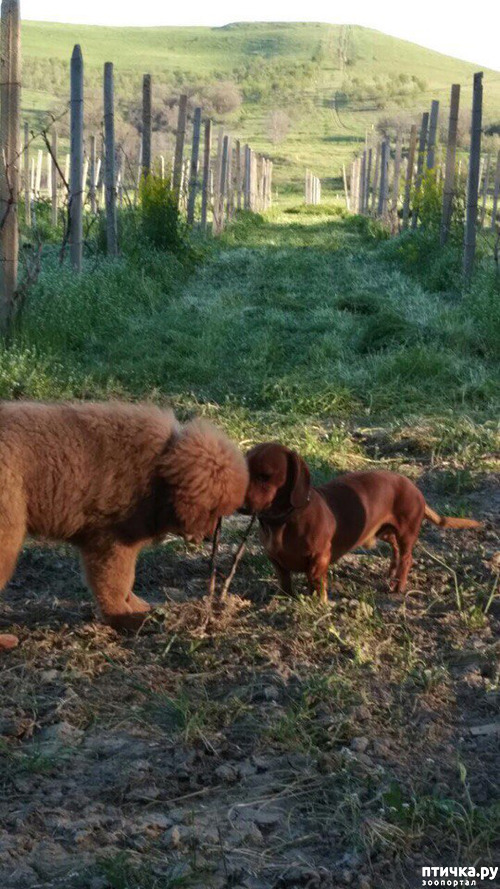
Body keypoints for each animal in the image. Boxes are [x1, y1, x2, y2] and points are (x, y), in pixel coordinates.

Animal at [0, 401, 248, 646]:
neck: (161, 469)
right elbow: (116, 582)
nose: (208, 537)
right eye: (213, 511)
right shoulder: (111, 542)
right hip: (8, 534)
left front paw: (138, 607)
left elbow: (127, 581)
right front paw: (127, 617)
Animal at [243, 442, 482, 602]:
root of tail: (413, 487)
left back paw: (398, 586)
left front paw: (318, 602)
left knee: (406, 558)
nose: (239, 502)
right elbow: (284, 579)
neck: (282, 522)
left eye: (265, 476)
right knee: (394, 549)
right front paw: (285, 598)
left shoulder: (319, 557)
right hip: (382, 531)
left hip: (406, 533)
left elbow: (315, 580)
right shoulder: (275, 559)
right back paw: (391, 573)